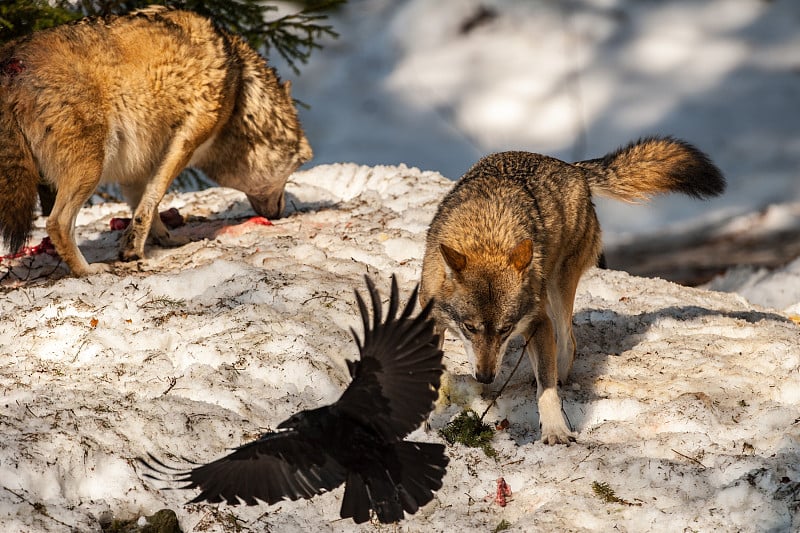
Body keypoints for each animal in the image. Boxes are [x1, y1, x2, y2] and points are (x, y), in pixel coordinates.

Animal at [0, 6, 312, 276]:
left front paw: (163, 240)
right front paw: (133, 249)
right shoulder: (184, 143)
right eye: (296, 167)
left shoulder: (136, 166)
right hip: (91, 168)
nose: (280, 214)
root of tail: (13, 60)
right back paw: (88, 271)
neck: (240, 90)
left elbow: (146, 205)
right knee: (57, 223)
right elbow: (153, 198)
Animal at [422, 135, 728, 442]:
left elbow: (546, 388)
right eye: (469, 328)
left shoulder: (538, 323)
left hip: (558, 290)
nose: (485, 377)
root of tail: (574, 168)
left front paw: (555, 430)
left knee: (568, 343)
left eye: (505, 328)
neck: (486, 236)